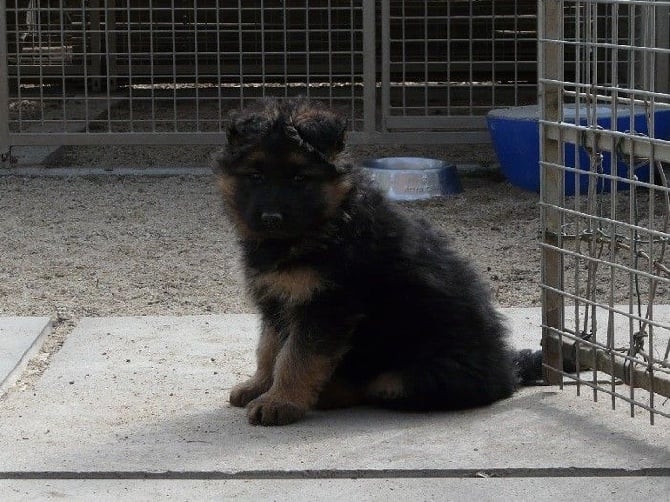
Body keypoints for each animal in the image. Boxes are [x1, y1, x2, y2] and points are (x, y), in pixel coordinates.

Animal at [215, 99, 544, 428]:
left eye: (300, 178)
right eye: (255, 176)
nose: (271, 219)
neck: (330, 221)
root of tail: (509, 370)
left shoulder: (327, 305)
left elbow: (297, 356)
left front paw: (279, 401)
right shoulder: (276, 298)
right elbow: (269, 348)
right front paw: (259, 386)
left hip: (410, 376)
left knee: (377, 387)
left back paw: (329, 393)